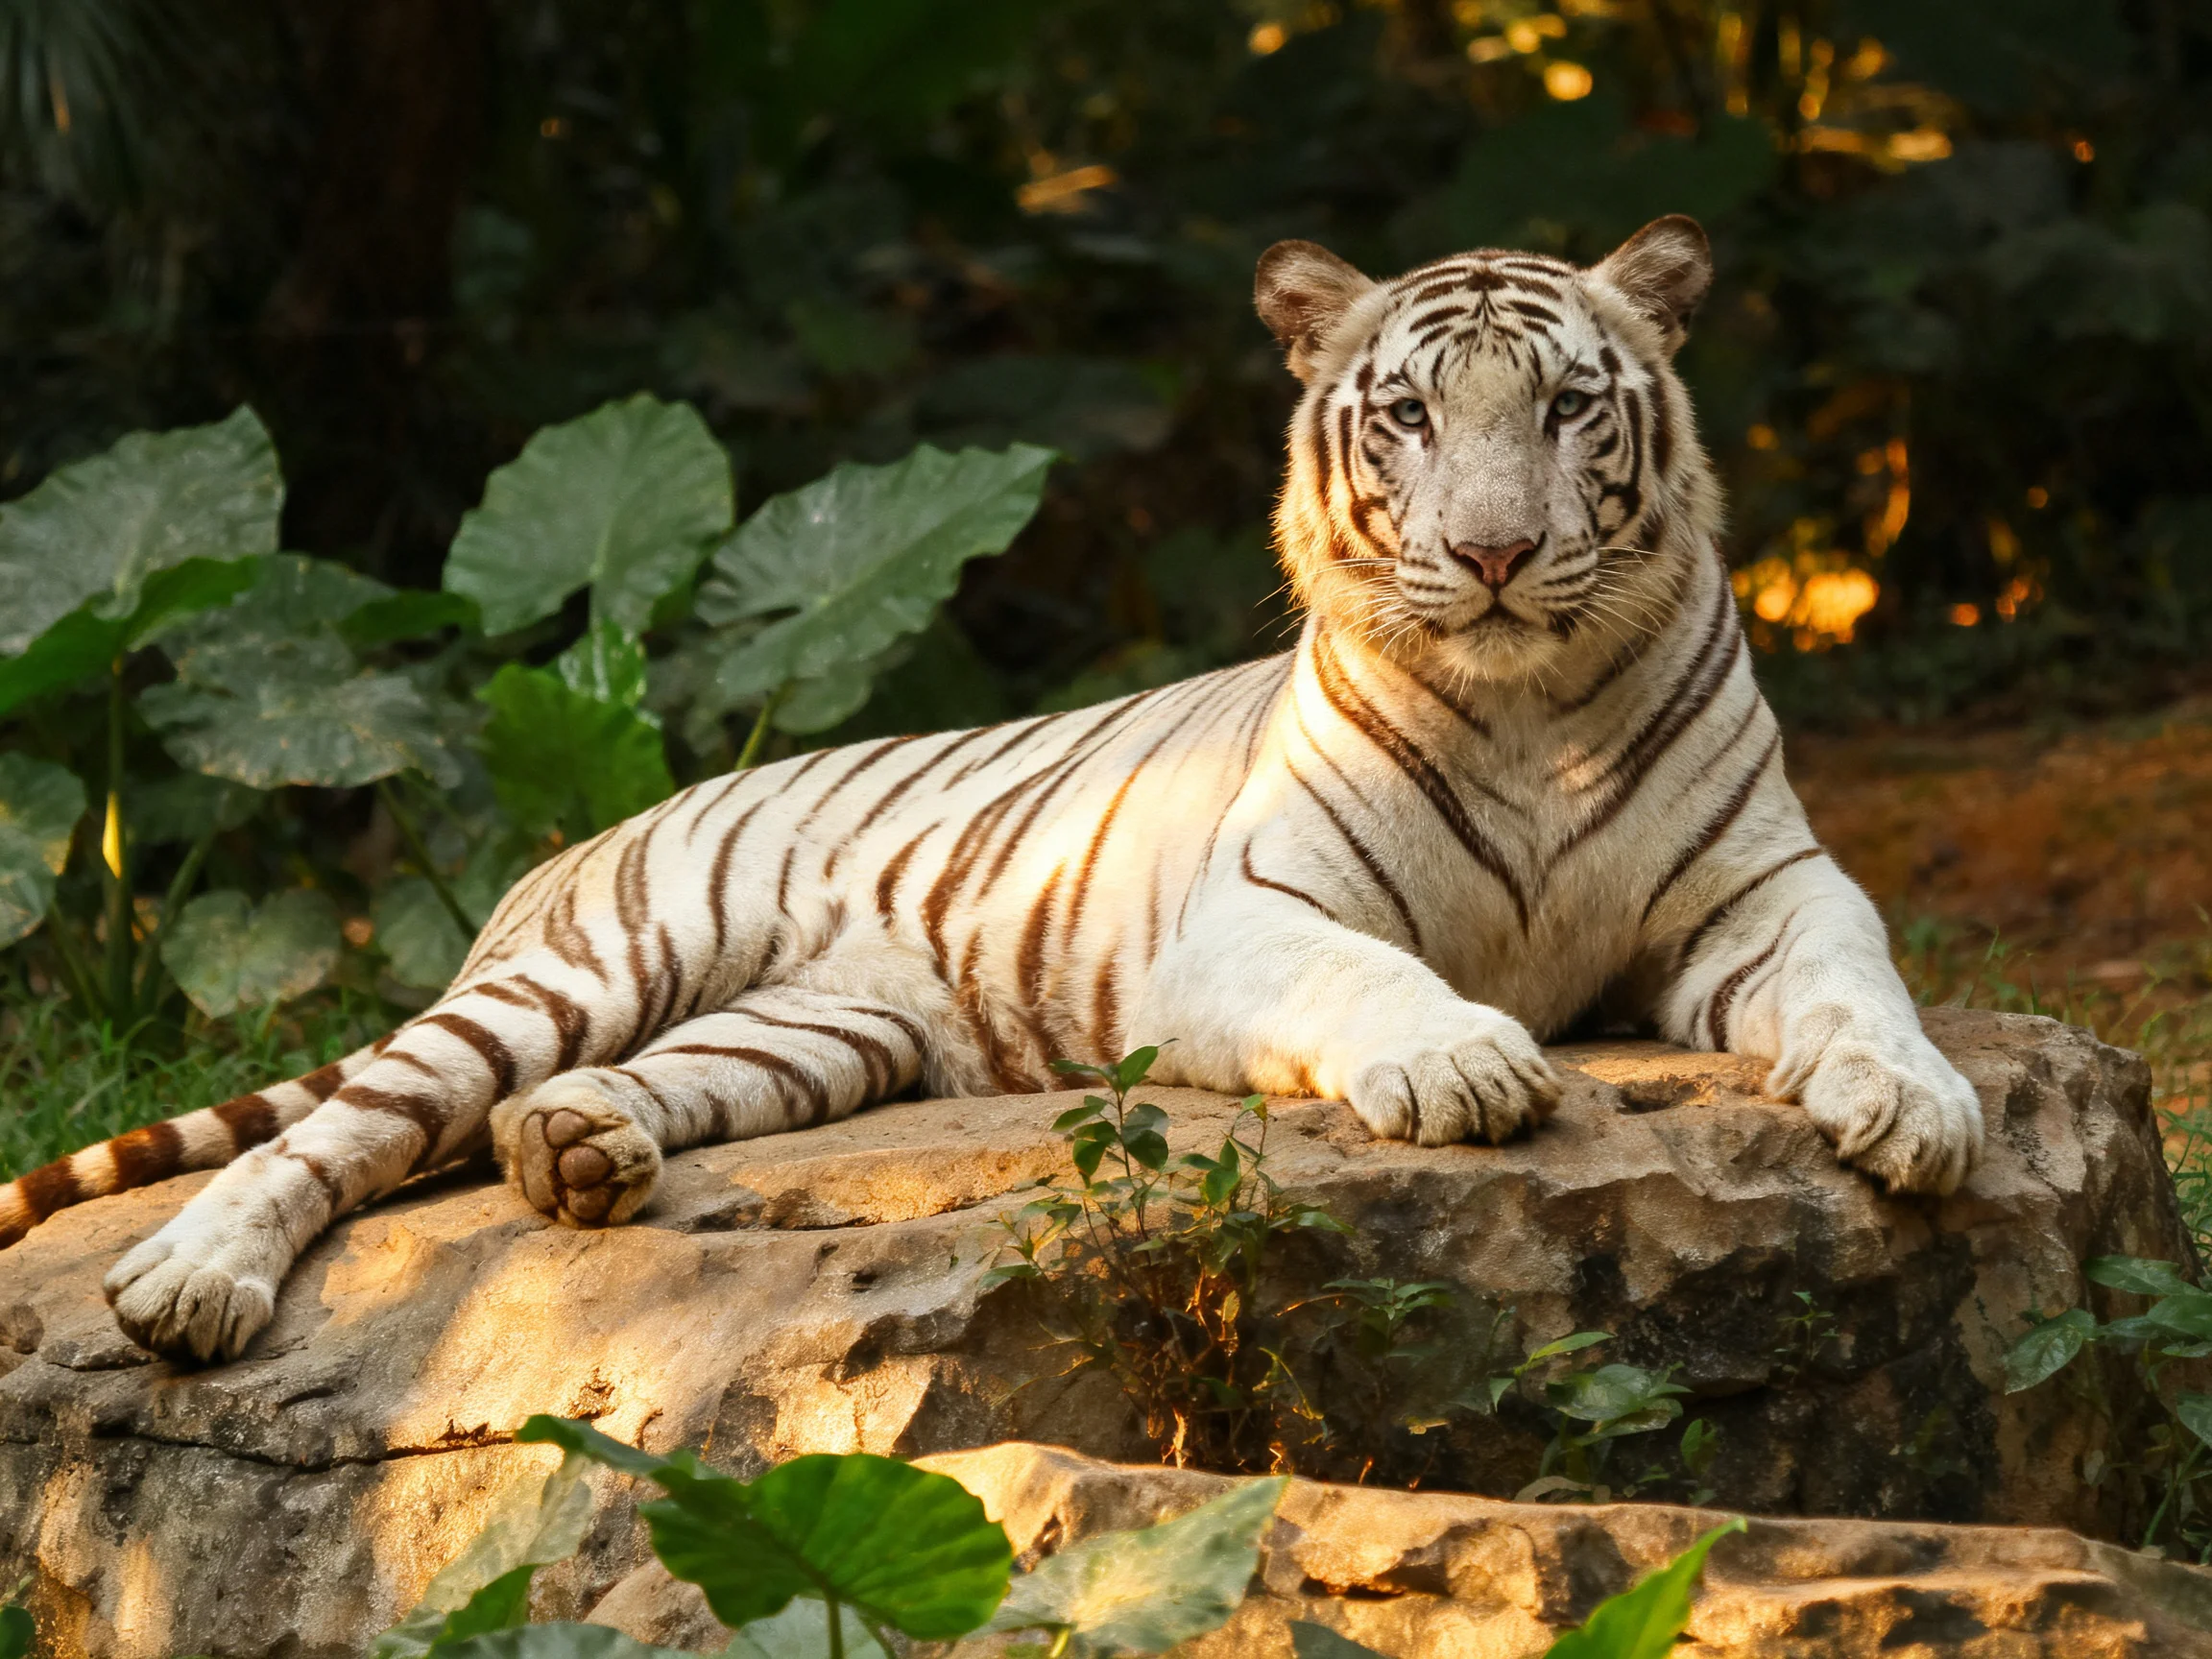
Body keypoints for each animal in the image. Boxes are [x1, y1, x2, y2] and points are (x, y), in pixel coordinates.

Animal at [0, 214, 1984, 1363]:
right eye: (1411, 414)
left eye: (1569, 407)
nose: (1492, 555)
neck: (1525, 703)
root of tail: (563, 852)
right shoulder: (1247, 917)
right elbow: (1372, 974)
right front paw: (1459, 1060)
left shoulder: (1766, 884)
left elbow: (1855, 978)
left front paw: (1911, 1105)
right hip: (589, 965)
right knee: (345, 1129)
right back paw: (188, 1283)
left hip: (815, 1030)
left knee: (576, 1100)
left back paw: (576, 1152)